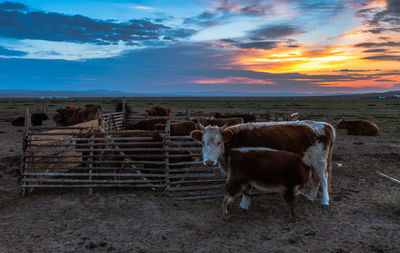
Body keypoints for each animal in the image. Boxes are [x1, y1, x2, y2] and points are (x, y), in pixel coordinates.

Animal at [190, 120, 334, 206]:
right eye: (203, 142)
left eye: (218, 142)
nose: (209, 161)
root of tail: (324, 125)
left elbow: (246, 187)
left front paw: (244, 205)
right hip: (311, 163)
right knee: (316, 179)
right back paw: (310, 198)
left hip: (320, 161)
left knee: (323, 178)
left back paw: (325, 201)